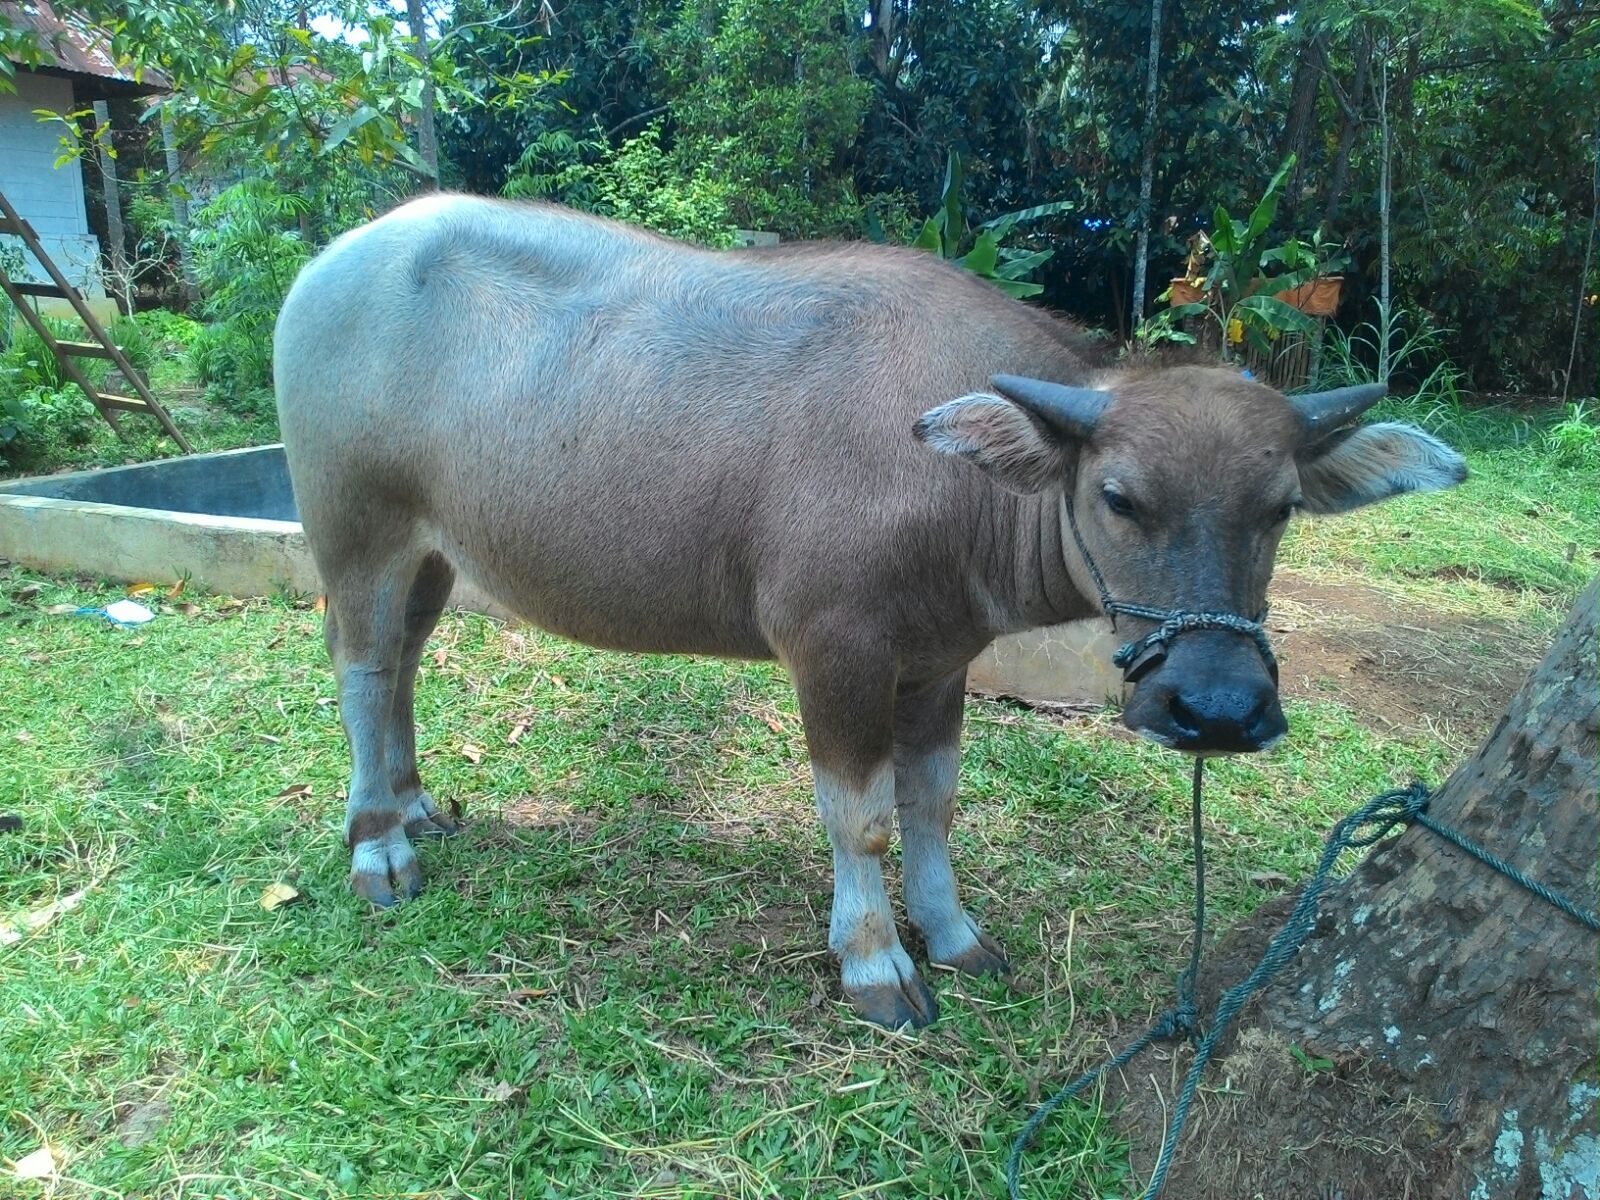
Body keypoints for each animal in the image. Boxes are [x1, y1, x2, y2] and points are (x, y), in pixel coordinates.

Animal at [275, 192, 1465, 1030]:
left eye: (1280, 508)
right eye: (1120, 498)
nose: (1217, 709)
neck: (956, 478)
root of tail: (337, 259)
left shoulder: (939, 660)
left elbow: (933, 803)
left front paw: (952, 931)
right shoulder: (834, 653)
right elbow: (864, 816)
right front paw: (875, 960)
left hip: (433, 551)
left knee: (404, 664)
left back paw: (414, 805)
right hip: (356, 528)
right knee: (361, 669)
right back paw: (378, 847)